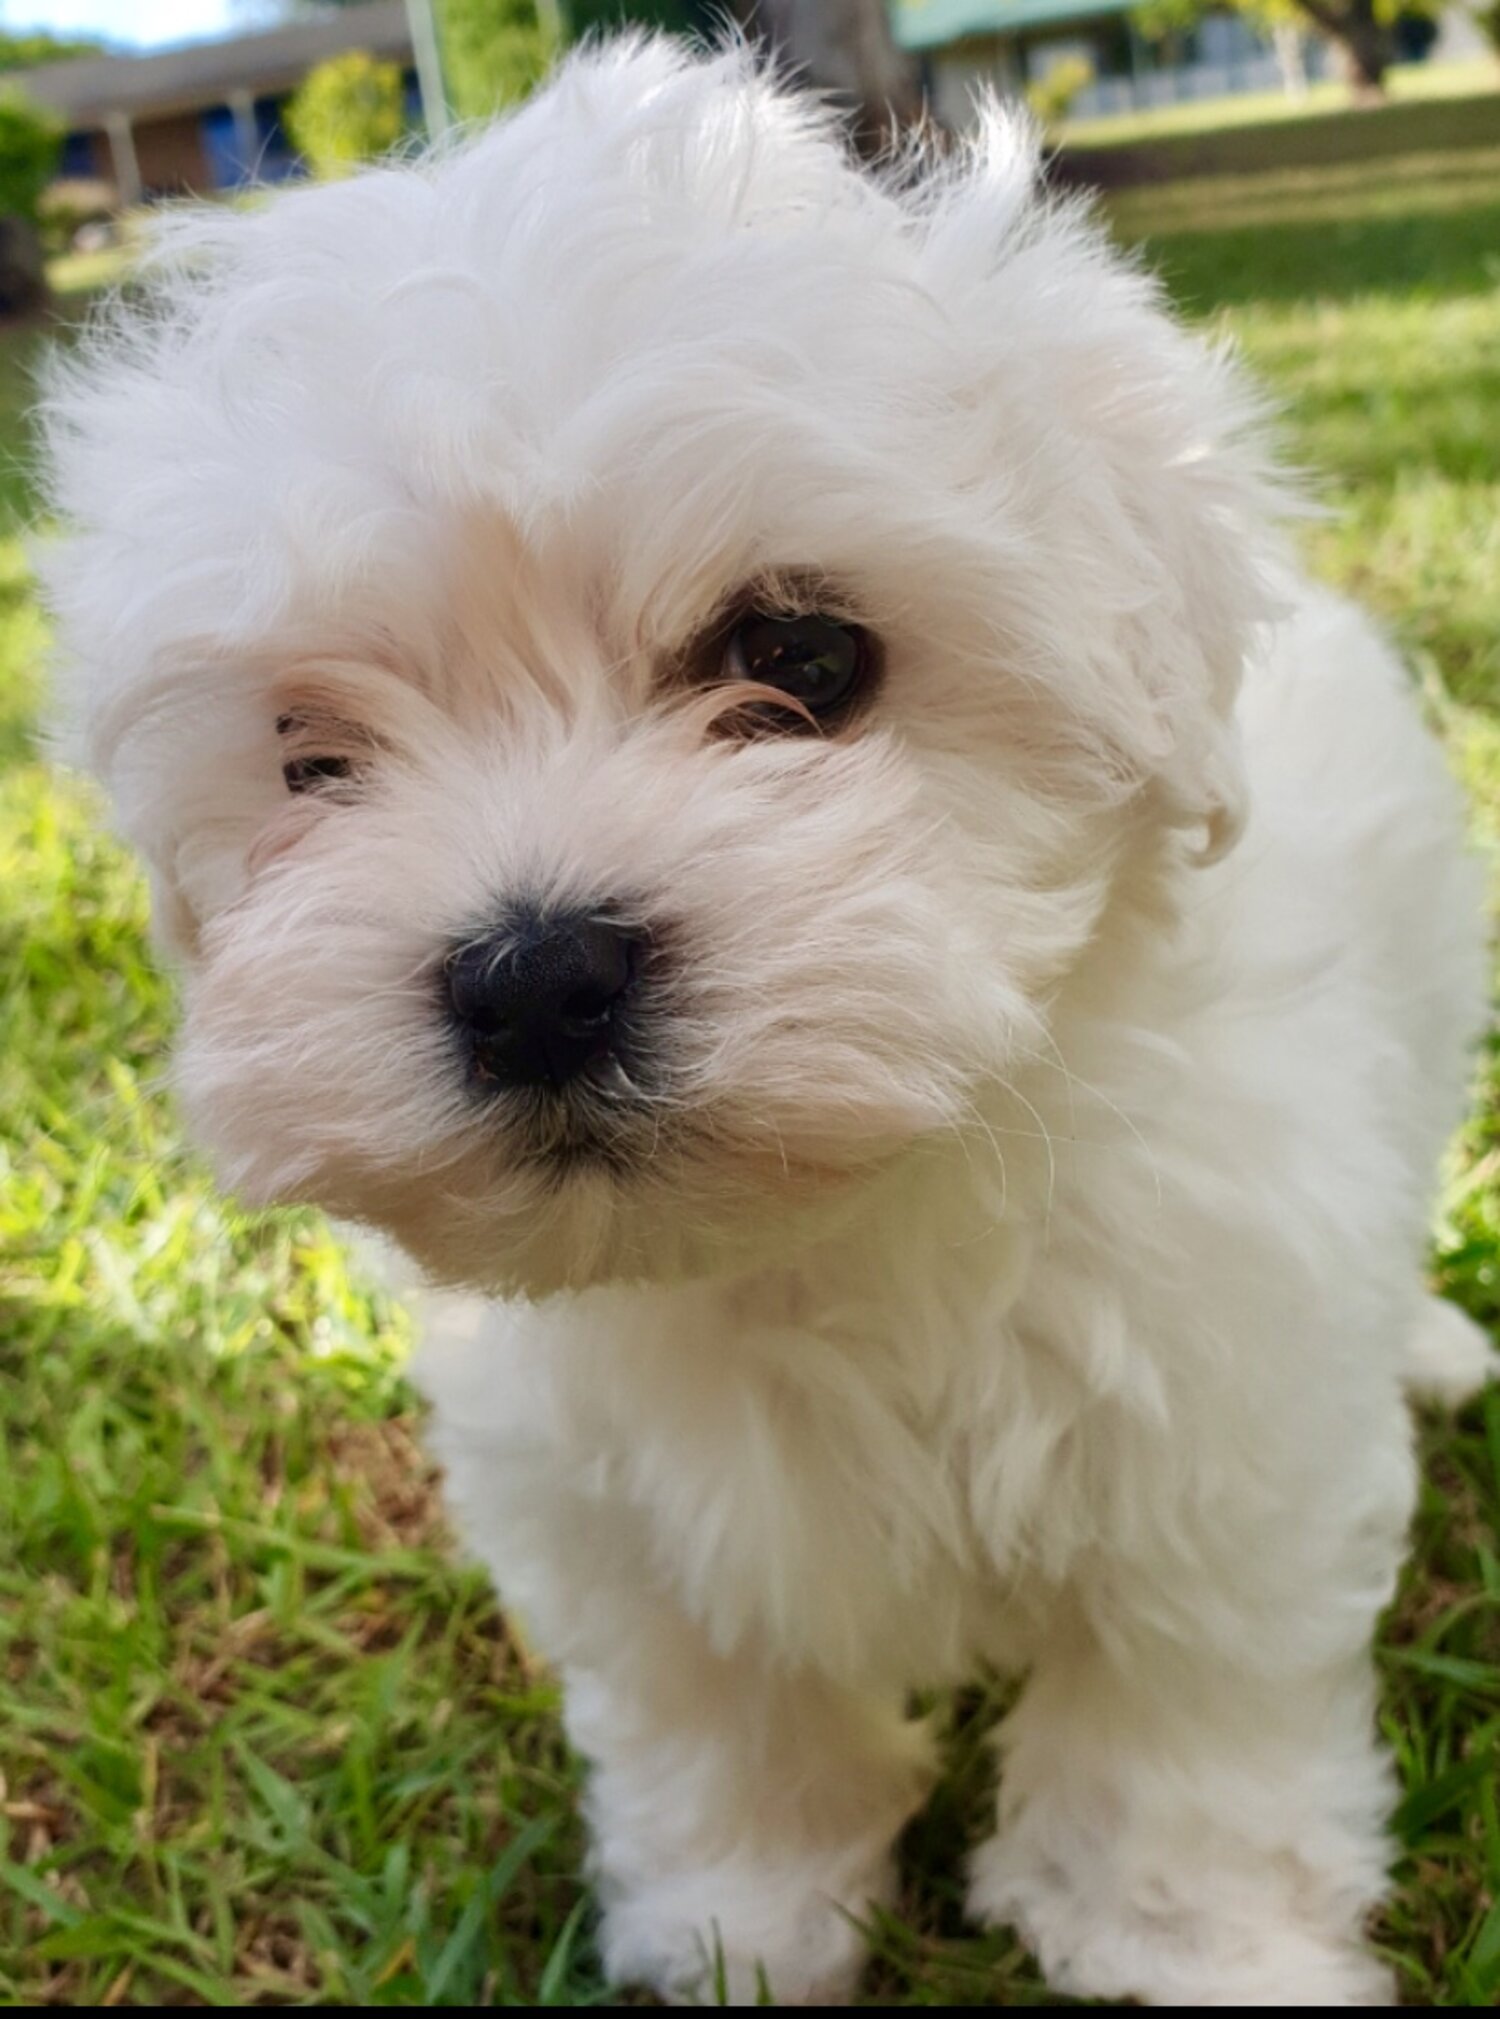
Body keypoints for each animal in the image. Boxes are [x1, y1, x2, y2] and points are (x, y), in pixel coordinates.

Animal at [41, 39, 1493, 2010]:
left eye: (803, 657)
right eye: (309, 760)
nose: (534, 977)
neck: (834, 1226)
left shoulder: (1215, 1427)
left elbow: (1180, 1717)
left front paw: (1187, 1945)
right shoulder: (621, 1511)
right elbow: (722, 1714)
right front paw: (741, 1917)